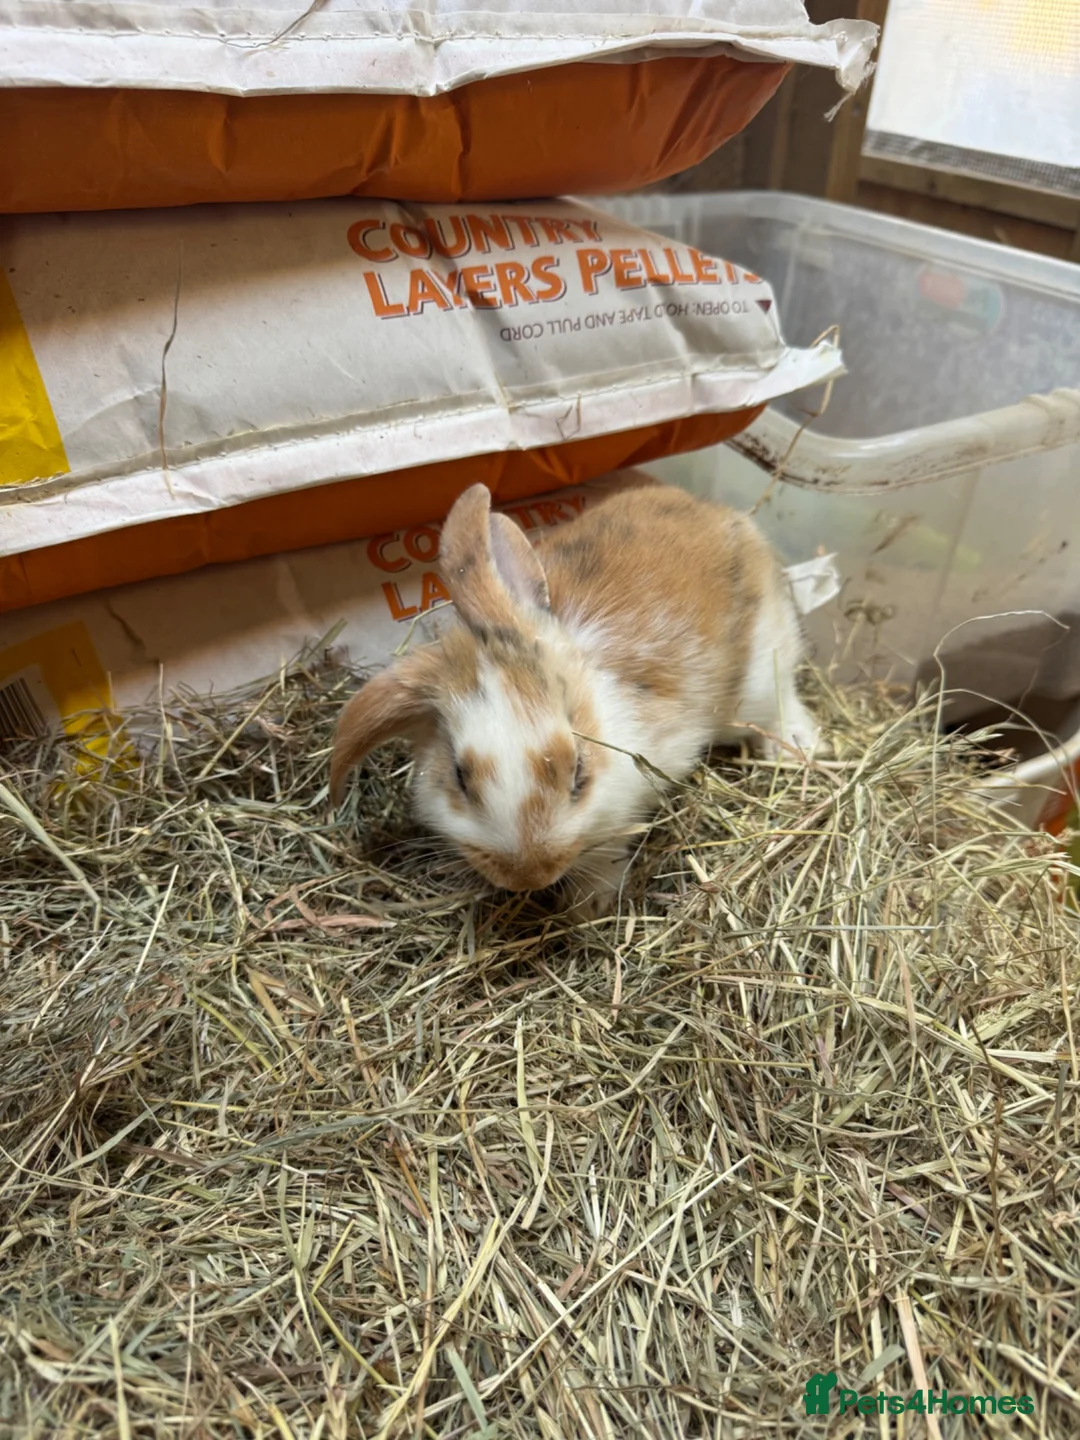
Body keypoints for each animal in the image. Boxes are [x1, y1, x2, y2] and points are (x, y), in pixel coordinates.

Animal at [330, 479, 817, 919]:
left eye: (579, 770)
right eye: (459, 777)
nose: (528, 876)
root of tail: (725, 514)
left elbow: (607, 850)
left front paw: (588, 907)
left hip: (759, 680)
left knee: (781, 703)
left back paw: (800, 746)